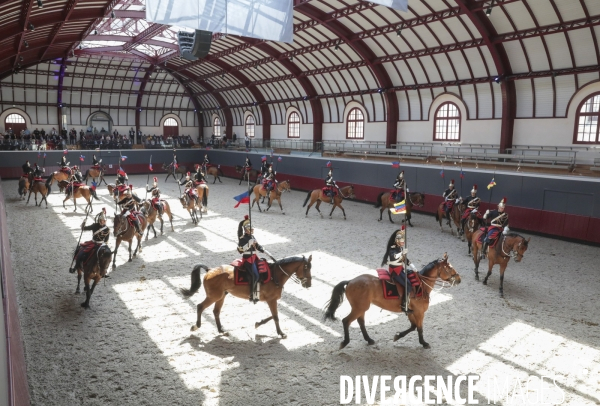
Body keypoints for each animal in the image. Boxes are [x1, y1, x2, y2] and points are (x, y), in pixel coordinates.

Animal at [179, 255, 314, 338]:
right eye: (306, 267)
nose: (309, 284)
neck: (275, 275)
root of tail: (209, 270)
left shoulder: (270, 300)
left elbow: (273, 315)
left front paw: (258, 323)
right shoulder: (271, 300)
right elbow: (275, 317)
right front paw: (280, 333)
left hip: (221, 297)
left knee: (216, 311)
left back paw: (221, 330)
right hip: (214, 296)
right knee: (200, 307)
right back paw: (196, 326)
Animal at [324, 254, 460, 348]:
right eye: (449, 268)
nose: (459, 279)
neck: (421, 285)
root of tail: (350, 281)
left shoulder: (411, 312)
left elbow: (413, 327)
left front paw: (397, 336)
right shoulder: (419, 312)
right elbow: (419, 328)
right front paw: (424, 343)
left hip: (361, 308)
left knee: (360, 322)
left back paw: (369, 339)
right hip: (359, 308)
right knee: (346, 321)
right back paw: (345, 342)